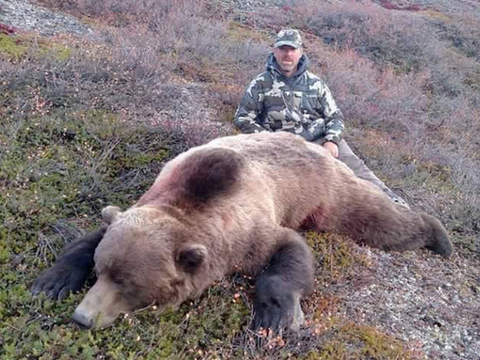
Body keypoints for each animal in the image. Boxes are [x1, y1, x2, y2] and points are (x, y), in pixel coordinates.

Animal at [31, 133, 454, 332]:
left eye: (129, 284)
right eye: (103, 272)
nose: (83, 318)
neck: (189, 206)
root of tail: (314, 145)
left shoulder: (243, 233)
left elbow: (288, 250)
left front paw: (273, 317)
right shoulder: (142, 203)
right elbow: (91, 235)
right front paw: (51, 282)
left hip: (329, 191)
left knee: (374, 217)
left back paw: (440, 237)